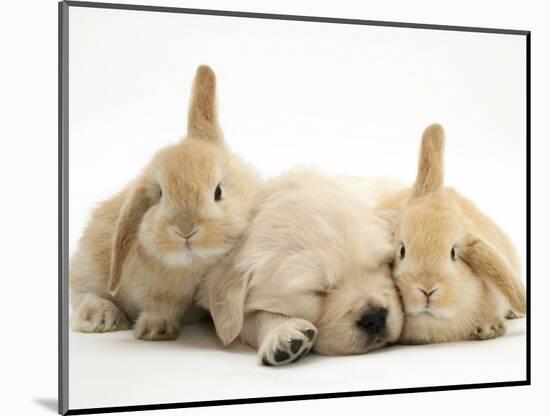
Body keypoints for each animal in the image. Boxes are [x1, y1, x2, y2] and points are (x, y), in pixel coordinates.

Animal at [70, 66, 264, 340]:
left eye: (218, 191)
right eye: (160, 193)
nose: (185, 230)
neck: (195, 266)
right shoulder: (154, 290)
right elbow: (160, 306)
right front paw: (155, 329)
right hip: (87, 265)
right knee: (82, 293)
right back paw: (100, 317)